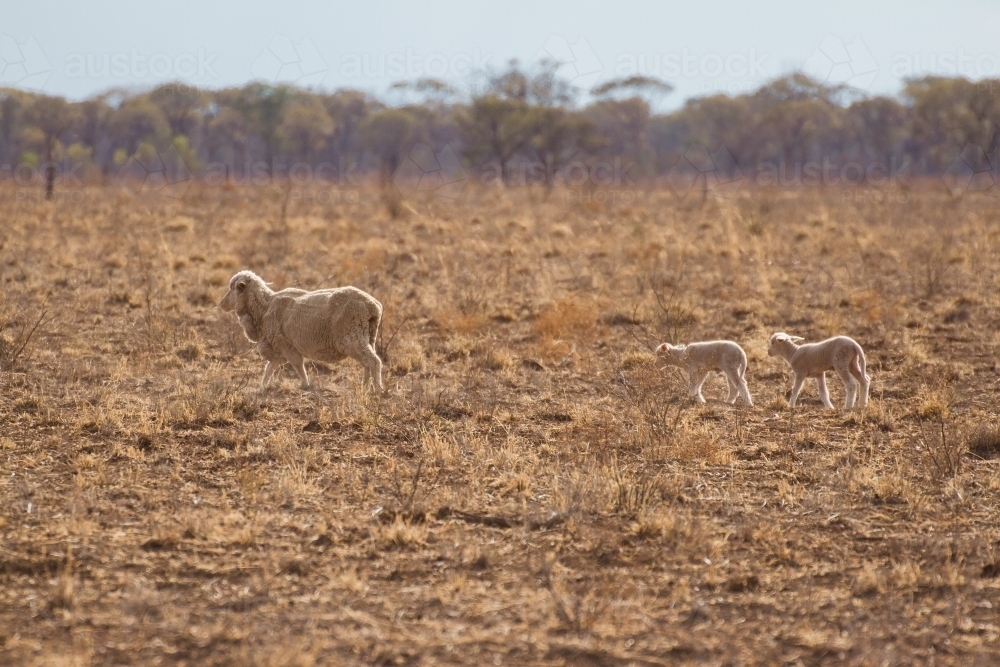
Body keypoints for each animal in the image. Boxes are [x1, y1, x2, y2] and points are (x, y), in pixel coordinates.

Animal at [220, 272, 382, 394]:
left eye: (233, 288)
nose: (221, 304)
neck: (264, 308)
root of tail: (372, 305)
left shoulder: (285, 344)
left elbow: (297, 364)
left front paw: (305, 384)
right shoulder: (278, 348)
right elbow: (270, 368)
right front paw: (262, 387)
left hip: (351, 337)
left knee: (373, 361)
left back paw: (377, 390)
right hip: (368, 336)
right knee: (367, 363)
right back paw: (365, 387)